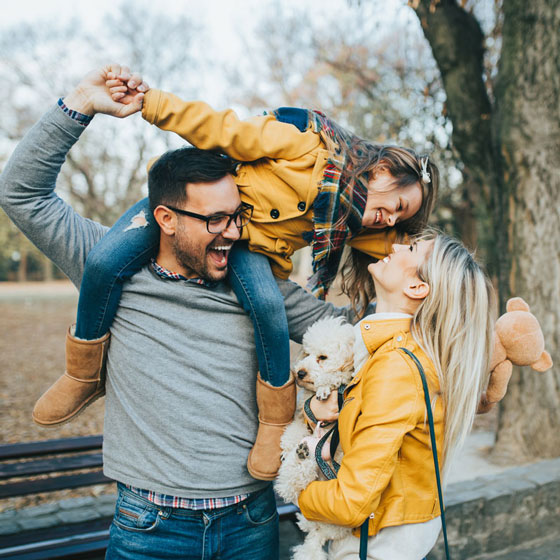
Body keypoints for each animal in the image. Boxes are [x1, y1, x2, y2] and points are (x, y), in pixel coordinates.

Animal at [274, 318, 354, 560]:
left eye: (322, 357)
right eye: (306, 353)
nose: (299, 372)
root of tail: (318, 534)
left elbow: (338, 376)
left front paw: (326, 383)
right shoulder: (303, 417)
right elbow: (293, 431)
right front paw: (288, 446)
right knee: (290, 485)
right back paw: (301, 454)